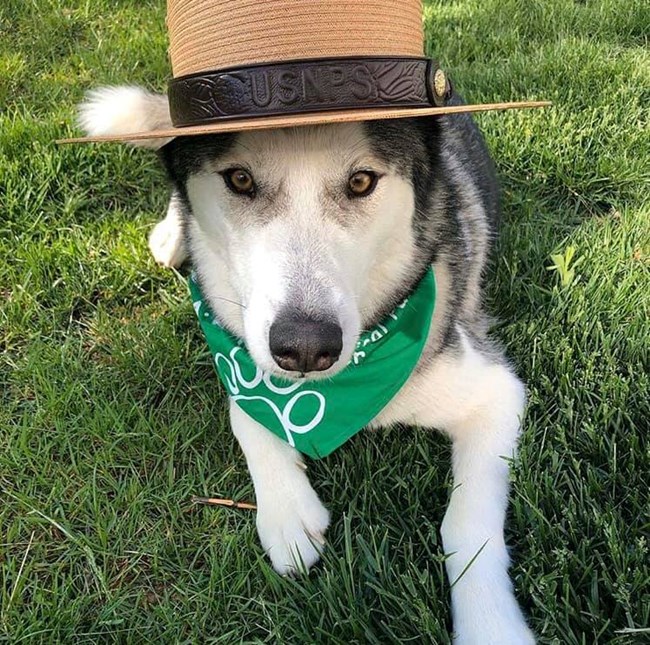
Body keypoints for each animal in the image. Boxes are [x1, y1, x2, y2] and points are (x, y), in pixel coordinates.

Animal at [77, 87, 532, 644]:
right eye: (240, 180)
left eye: (361, 182)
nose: (306, 347)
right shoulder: (240, 354)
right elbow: (246, 413)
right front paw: (287, 509)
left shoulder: (494, 392)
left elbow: (466, 524)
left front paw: (491, 623)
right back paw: (172, 231)